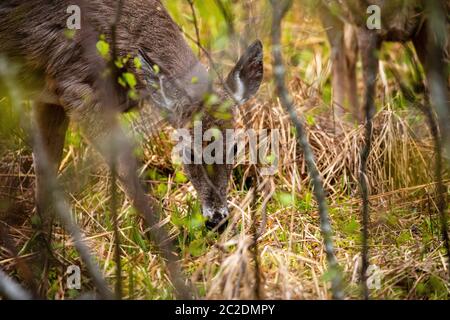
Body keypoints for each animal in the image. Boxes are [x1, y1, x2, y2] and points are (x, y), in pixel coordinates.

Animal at [0, 0, 266, 272]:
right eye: (187, 151)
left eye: (236, 148)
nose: (217, 220)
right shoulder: (77, 86)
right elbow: (126, 170)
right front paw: (167, 249)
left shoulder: (51, 94)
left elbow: (46, 171)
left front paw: (42, 260)